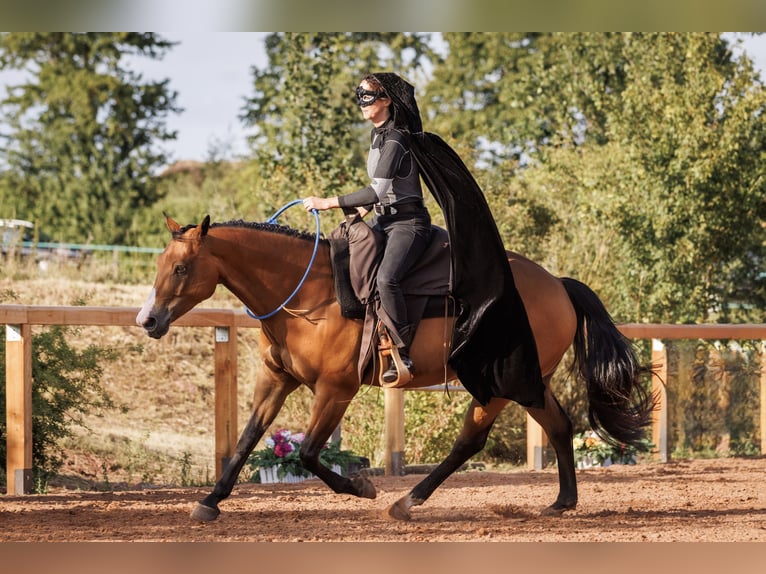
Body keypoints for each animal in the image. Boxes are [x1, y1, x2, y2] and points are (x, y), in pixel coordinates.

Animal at [136, 214, 655, 522]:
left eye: (181, 268)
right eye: (161, 262)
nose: (149, 320)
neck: (308, 293)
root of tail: (557, 284)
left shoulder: (336, 389)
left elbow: (308, 455)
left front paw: (361, 487)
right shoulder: (276, 380)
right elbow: (247, 438)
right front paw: (210, 501)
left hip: (499, 385)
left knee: (471, 440)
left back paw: (408, 500)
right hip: (529, 381)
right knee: (559, 425)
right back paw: (562, 501)